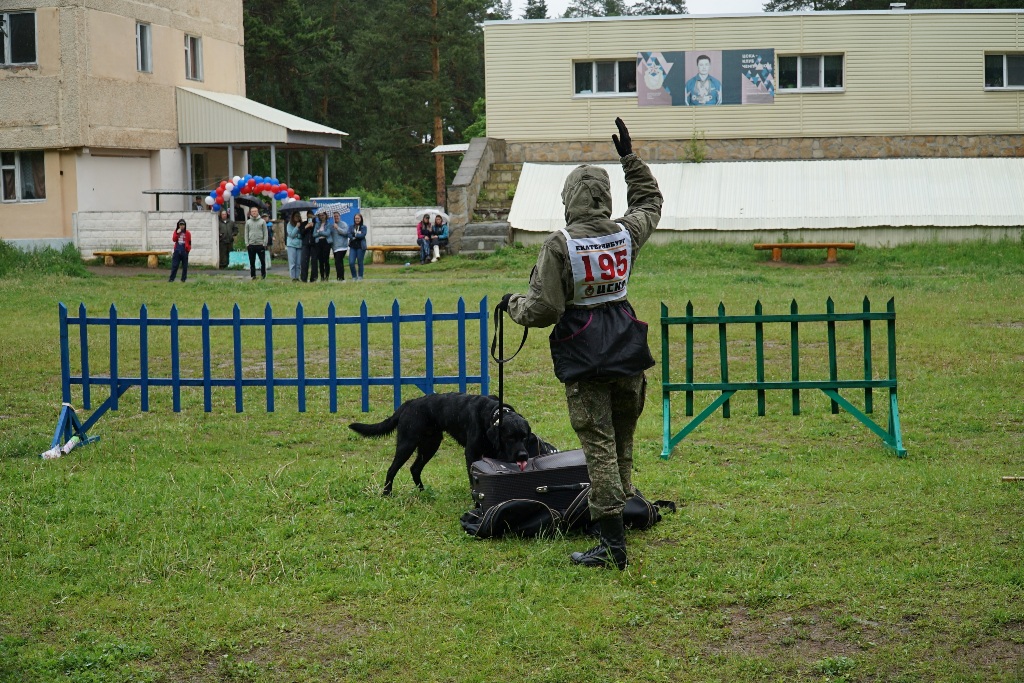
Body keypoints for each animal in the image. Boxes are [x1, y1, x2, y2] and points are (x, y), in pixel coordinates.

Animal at [348, 395, 532, 497]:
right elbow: (473, 479)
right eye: (509, 437)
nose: (523, 456)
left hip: (430, 445)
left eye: (524, 436)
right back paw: (387, 494)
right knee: (392, 469)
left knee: (414, 468)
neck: (492, 414)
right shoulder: (471, 454)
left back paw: (423, 492)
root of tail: (408, 404)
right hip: (407, 444)